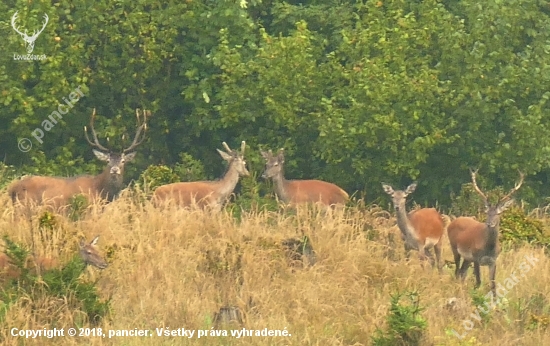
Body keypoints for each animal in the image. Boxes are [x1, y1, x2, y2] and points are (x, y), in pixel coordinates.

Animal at [9, 108, 147, 212]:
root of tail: (12, 189)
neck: (100, 192)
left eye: (123, 161)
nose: (114, 170)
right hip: (26, 207)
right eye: (108, 161)